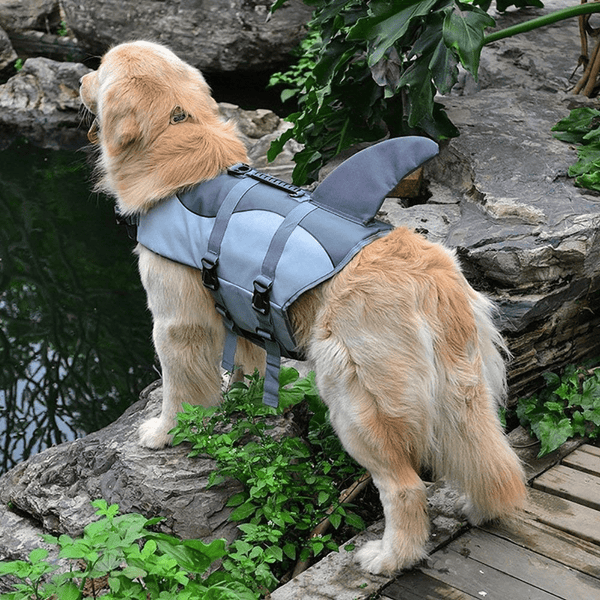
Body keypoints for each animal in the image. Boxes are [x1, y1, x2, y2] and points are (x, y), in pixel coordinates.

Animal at [79, 41, 524, 576]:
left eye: (100, 70)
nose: (78, 80)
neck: (183, 159)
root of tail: (431, 279)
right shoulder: (242, 311)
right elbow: (247, 363)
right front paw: (244, 398)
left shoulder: (175, 321)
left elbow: (179, 389)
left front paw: (163, 433)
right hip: (467, 390)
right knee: (489, 460)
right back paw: (475, 507)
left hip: (353, 396)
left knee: (405, 487)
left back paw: (389, 557)